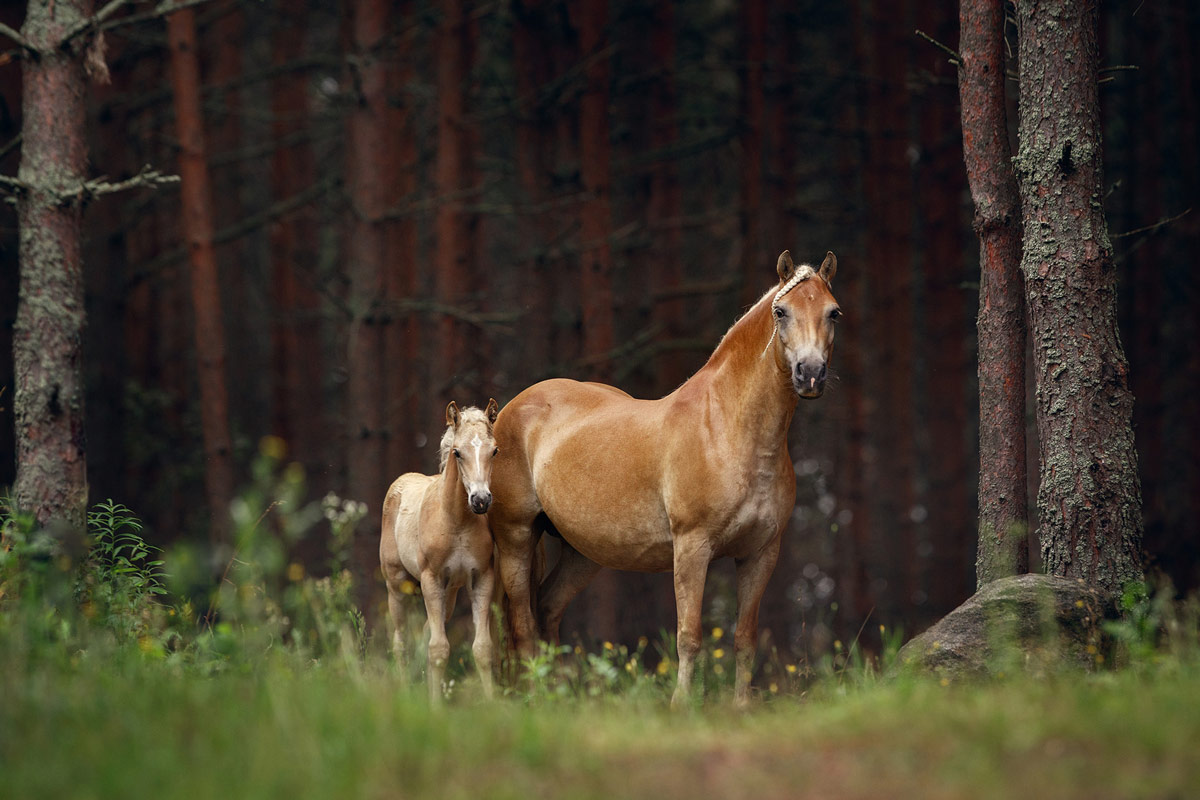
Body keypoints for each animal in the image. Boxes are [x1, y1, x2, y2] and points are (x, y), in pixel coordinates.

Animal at [379, 400, 501, 700]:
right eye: (457, 452)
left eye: (494, 450)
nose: (480, 500)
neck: (456, 521)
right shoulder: (431, 579)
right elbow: (438, 649)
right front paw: (434, 706)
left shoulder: (481, 578)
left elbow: (482, 648)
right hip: (396, 584)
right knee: (400, 641)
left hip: (450, 592)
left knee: (424, 633)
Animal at [489, 250, 844, 705]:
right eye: (781, 311)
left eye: (833, 312)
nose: (810, 373)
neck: (726, 429)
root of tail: (512, 409)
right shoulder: (692, 547)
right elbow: (688, 636)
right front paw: (681, 705)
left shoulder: (761, 553)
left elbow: (744, 638)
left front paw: (741, 707)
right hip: (516, 538)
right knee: (523, 627)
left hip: (583, 552)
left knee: (548, 607)